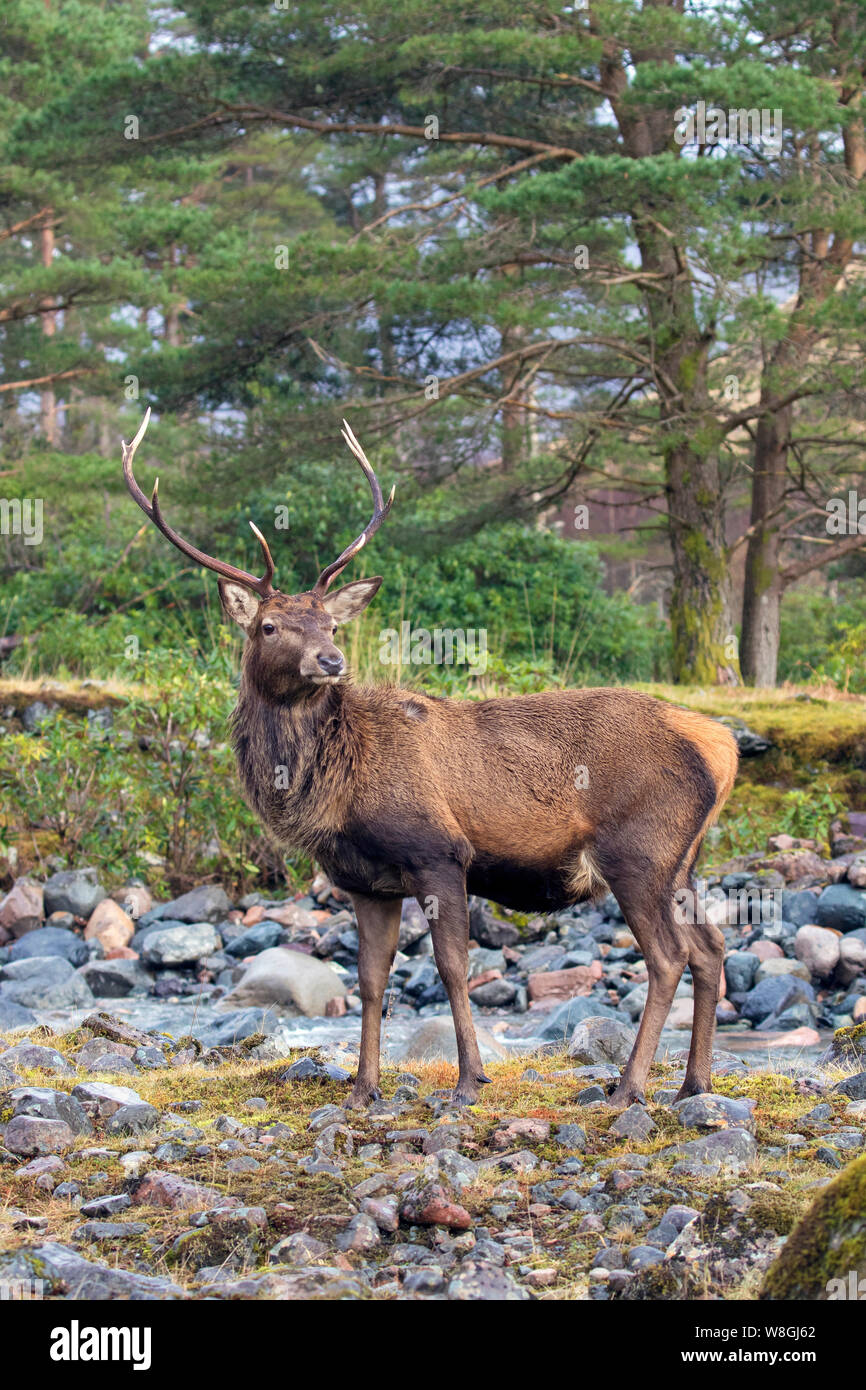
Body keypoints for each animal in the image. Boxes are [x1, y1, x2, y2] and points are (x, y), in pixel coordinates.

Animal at [118, 405, 733, 1112]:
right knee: (711, 947)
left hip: (639, 851)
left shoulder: (440, 853)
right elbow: (370, 980)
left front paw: (468, 1080)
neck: (330, 792)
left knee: (668, 957)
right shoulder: (364, 882)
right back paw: (693, 1082)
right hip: (683, 862)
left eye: (332, 623)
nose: (331, 660)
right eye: (269, 626)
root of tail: (722, 745)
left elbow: (451, 968)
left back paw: (628, 1086)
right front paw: (362, 1087)